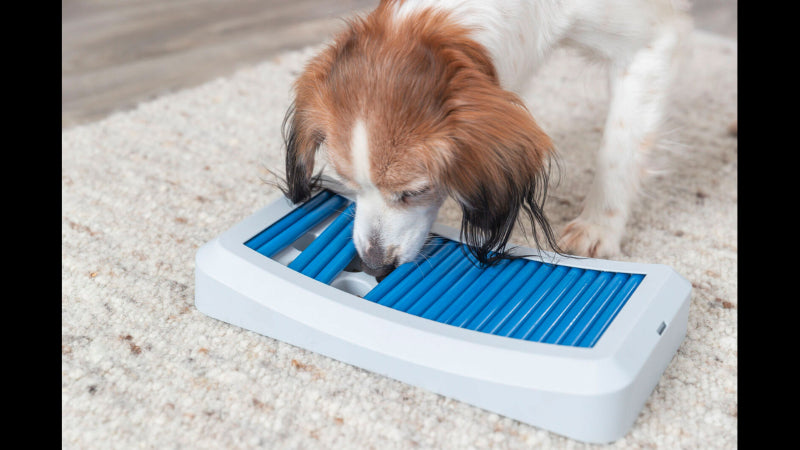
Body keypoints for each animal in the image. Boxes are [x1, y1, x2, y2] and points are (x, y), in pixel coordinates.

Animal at [280, 0, 688, 278]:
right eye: (349, 184)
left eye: (414, 191)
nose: (374, 264)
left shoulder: (649, 45)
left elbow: (618, 149)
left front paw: (599, 226)